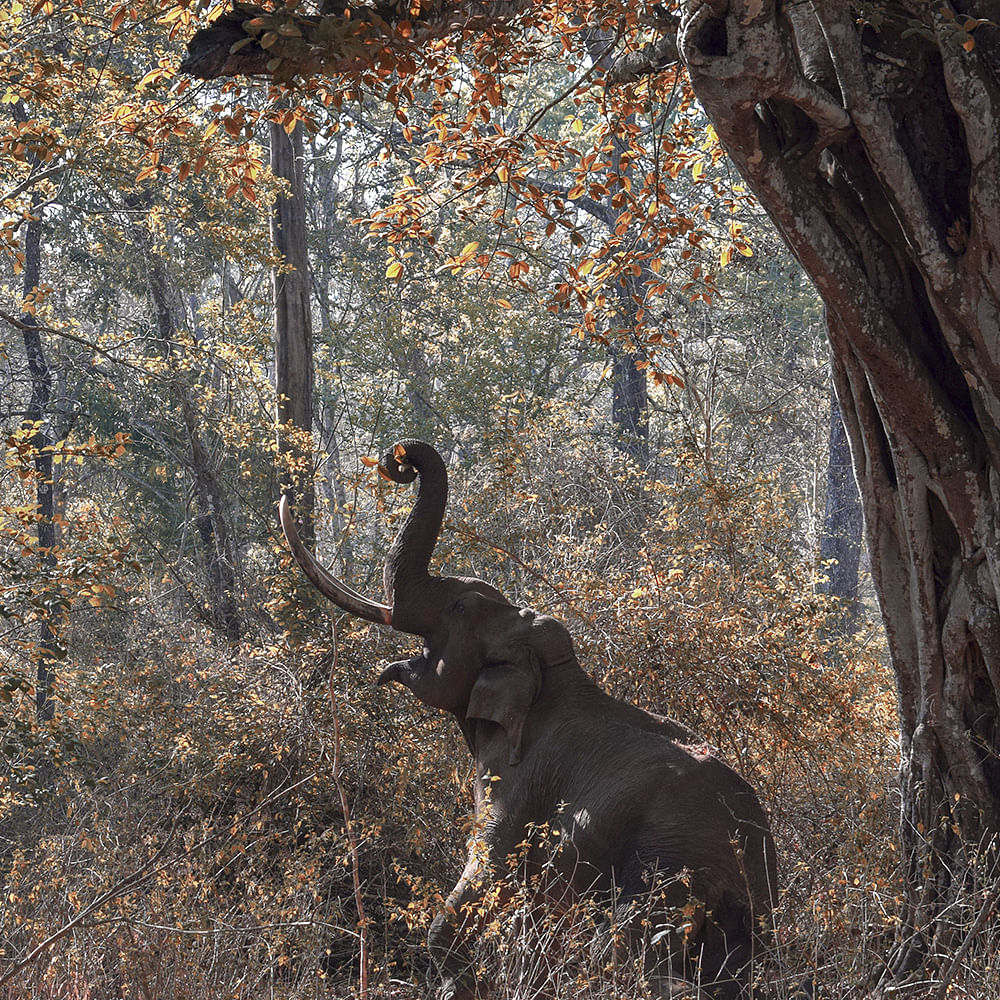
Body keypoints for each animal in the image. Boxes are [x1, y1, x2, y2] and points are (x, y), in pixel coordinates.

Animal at [278, 442, 776, 996]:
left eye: (459, 606)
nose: (398, 460)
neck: (553, 675)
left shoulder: (518, 777)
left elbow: (488, 864)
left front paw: (460, 987)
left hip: (667, 863)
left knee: (630, 949)